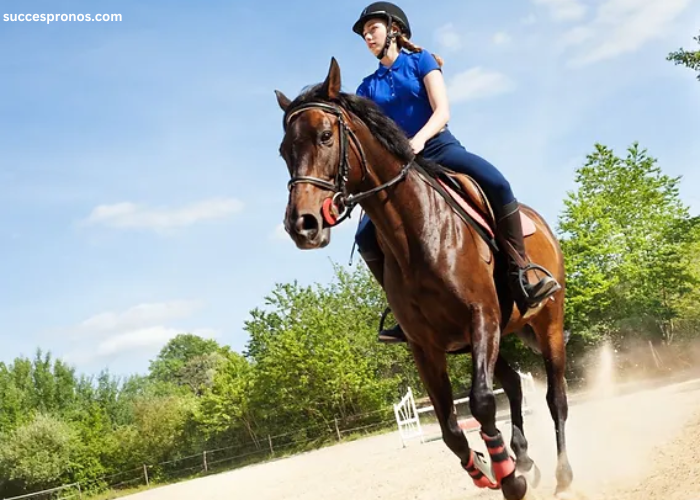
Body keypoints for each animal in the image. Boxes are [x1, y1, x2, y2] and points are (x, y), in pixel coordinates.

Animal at [274, 57, 576, 500]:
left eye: (325, 136)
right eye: (284, 151)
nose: (302, 225)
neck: (420, 232)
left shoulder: (481, 317)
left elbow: (482, 402)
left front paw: (509, 478)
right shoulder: (425, 345)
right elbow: (450, 427)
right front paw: (485, 467)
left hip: (547, 323)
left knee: (556, 397)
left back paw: (561, 473)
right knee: (514, 386)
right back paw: (522, 456)